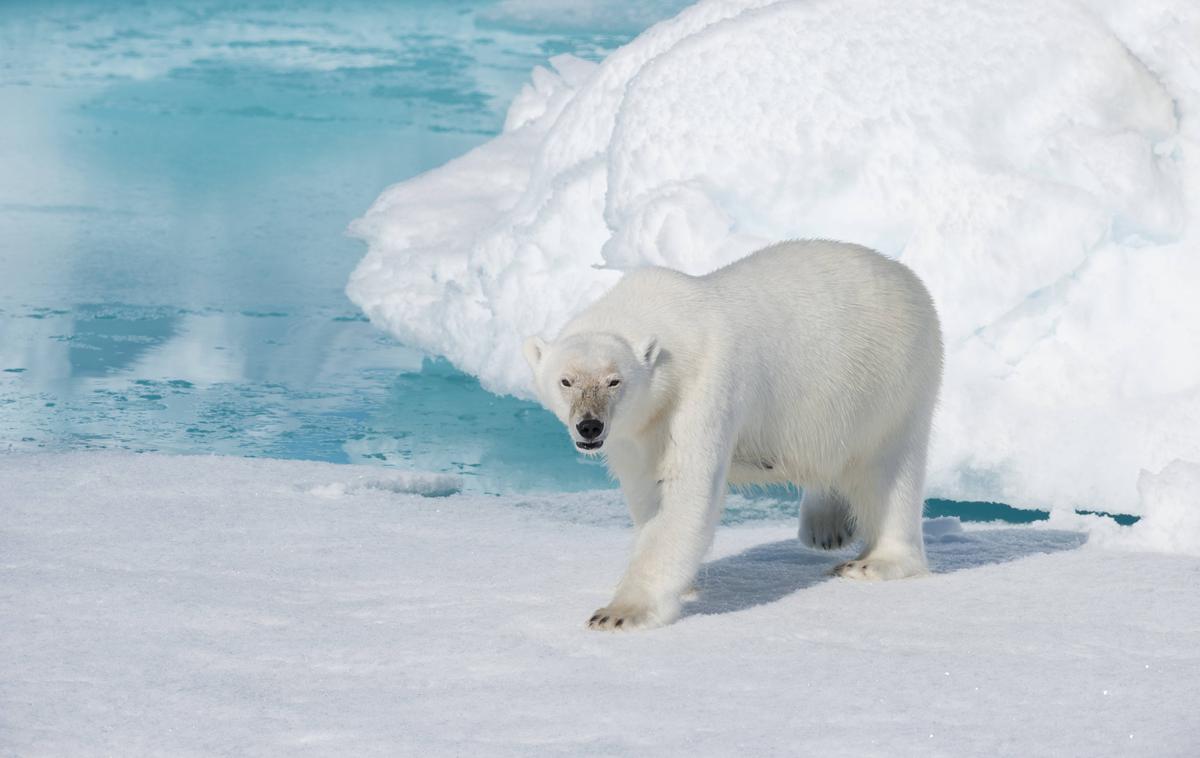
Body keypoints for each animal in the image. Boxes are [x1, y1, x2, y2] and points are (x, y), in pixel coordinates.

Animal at [520, 239, 940, 628]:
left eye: (613, 380)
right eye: (566, 380)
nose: (589, 425)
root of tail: (908, 277)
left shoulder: (701, 388)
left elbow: (687, 491)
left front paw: (618, 612)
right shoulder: (636, 429)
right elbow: (646, 492)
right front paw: (683, 582)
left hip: (891, 383)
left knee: (889, 473)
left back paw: (874, 562)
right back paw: (827, 526)